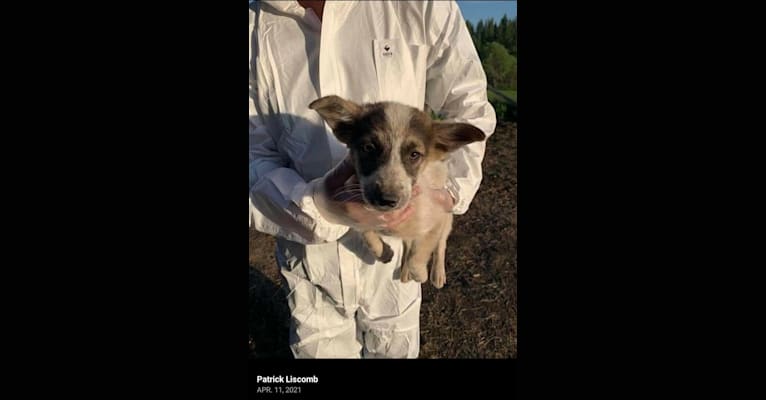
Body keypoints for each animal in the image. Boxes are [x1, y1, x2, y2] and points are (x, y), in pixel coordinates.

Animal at [310, 94, 486, 288]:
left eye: (414, 154)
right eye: (368, 148)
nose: (386, 200)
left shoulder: (435, 220)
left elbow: (421, 253)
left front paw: (420, 273)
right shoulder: (356, 212)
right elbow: (367, 233)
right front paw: (383, 253)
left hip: (447, 219)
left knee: (440, 245)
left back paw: (436, 273)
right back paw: (404, 271)